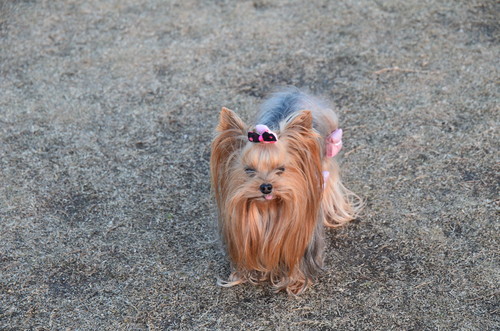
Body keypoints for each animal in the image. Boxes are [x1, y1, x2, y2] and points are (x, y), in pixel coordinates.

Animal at [210, 88, 360, 296]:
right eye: (249, 170)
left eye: (281, 169)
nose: (266, 187)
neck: (268, 209)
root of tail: (294, 92)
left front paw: (295, 282)